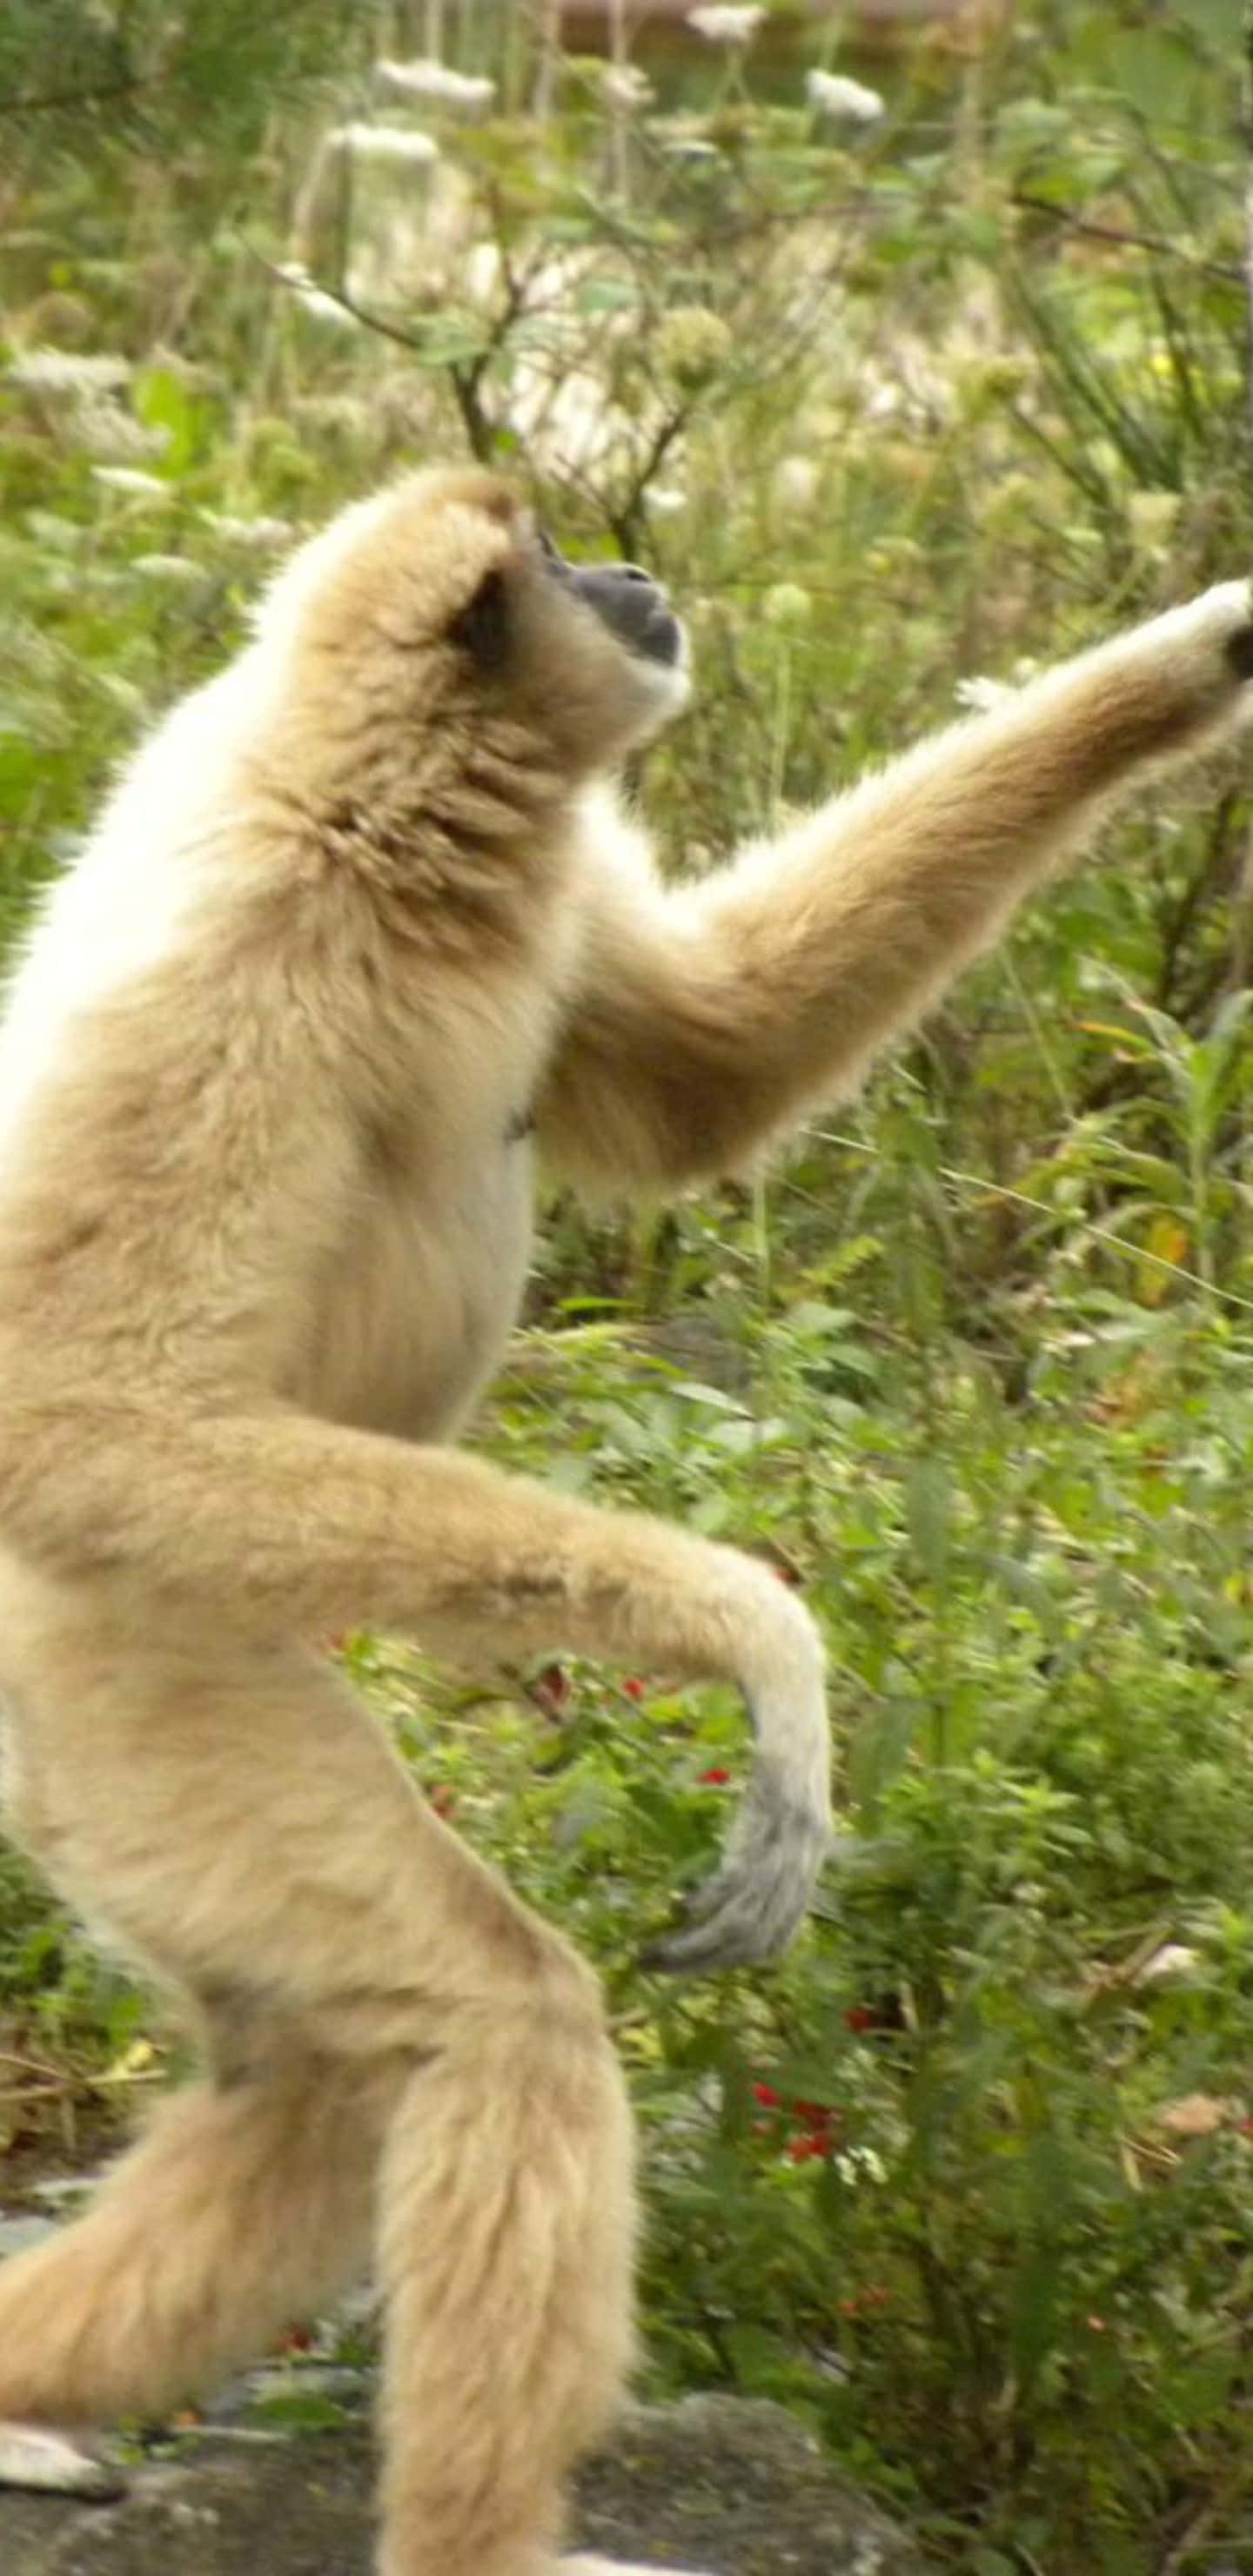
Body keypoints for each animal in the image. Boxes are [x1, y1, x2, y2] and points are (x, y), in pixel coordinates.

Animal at [0, 463, 1250, 2576]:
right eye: (570, 560)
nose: (636, 573)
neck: (372, 816)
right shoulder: (236, 971)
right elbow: (83, 1408)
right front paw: (757, 1638)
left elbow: (711, 1070)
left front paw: (1206, 648)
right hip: (118, 1663)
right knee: (484, 2015)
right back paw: (488, 2536)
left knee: (313, 2073)